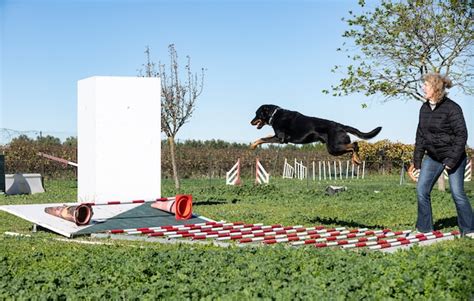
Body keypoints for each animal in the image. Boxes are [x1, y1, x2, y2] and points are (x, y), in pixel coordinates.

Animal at [252, 103, 382, 164]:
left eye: (256, 113)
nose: (250, 122)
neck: (274, 115)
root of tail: (341, 126)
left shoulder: (281, 139)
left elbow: (262, 139)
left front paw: (253, 145)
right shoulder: (278, 138)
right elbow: (266, 136)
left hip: (334, 147)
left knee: (354, 145)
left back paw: (357, 160)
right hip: (333, 149)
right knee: (352, 147)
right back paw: (355, 160)